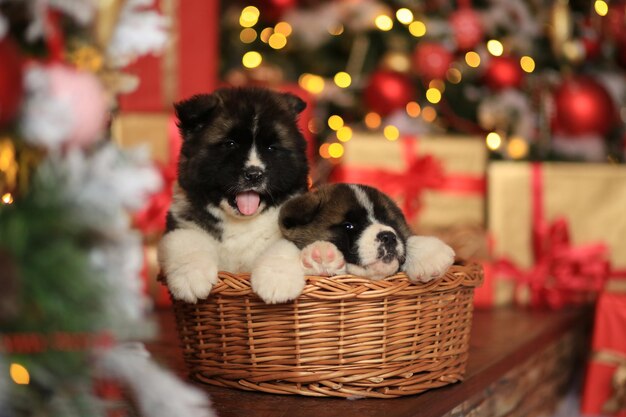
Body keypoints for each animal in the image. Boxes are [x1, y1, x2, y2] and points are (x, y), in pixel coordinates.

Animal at [158, 88, 310, 302]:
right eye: (230, 144)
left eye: (271, 148)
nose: (254, 174)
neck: (240, 223)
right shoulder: (180, 223)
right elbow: (185, 240)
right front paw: (191, 277)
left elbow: (285, 245)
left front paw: (276, 279)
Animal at [251, 184, 456, 304]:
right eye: (349, 226)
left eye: (390, 222)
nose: (388, 237)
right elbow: (283, 246)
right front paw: (278, 279)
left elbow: (409, 239)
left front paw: (431, 254)